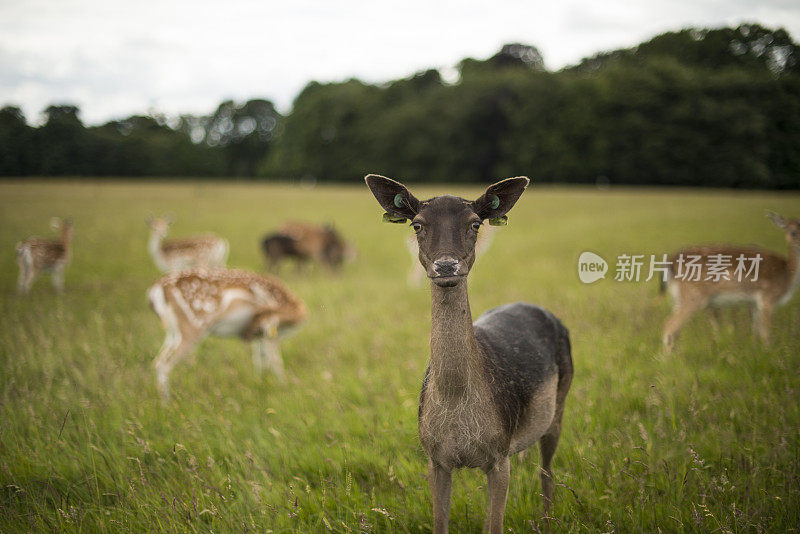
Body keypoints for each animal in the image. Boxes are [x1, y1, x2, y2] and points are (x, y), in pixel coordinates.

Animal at [147, 270, 306, 400]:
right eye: (255, 313)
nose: (244, 334)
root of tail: (156, 290)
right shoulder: (270, 335)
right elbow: (275, 361)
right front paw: (284, 387)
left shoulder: (261, 337)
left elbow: (260, 360)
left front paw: (260, 383)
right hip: (192, 327)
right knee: (164, 363)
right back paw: (167, 405)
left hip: (172, 332)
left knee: (158, 361)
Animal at [366, 174, 572, 532]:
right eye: (418, 225)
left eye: (475, 223)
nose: (446, 265)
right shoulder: (434, 457)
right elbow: (440, 523)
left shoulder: (499, 456)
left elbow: (494, 526)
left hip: (560, 402)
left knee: (547, 469)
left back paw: (547, 521)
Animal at [664, 211, 800, 354]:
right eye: (793, 232)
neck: (787, 276)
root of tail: (671, 262)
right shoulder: (767, 298)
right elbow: (765, 332)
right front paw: (768, 353)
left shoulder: (755, 303)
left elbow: (755, 330)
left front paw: (755, 350)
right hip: (694, 296)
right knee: (669, 326)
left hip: (679, 297)